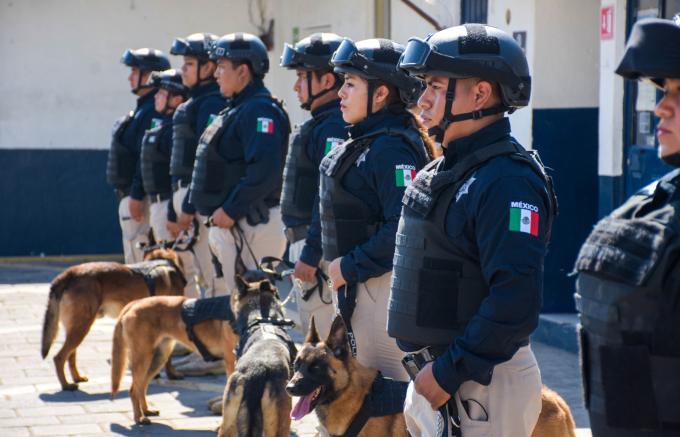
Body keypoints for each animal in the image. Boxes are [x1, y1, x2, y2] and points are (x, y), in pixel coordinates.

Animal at [42, 247, 186, 390]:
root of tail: (68, 274)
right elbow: (168, 357)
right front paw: (172, 374)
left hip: (76, 327)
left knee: (71, 355)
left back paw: (77, 378)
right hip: (81, 326)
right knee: (59, 357)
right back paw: (66, 385)